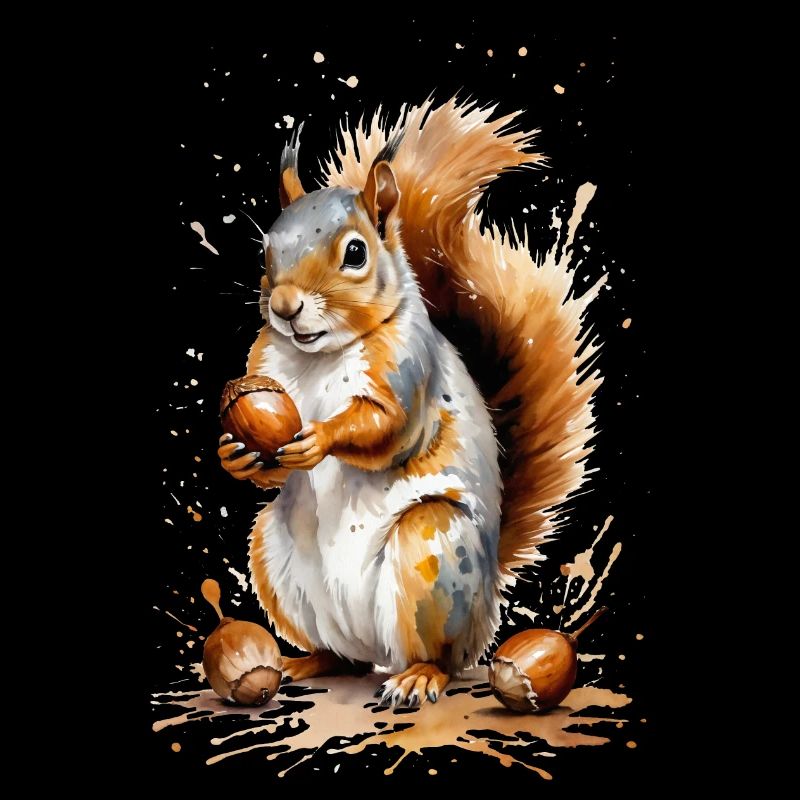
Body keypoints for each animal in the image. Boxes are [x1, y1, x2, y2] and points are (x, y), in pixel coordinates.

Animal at [217, 97, 601, 707]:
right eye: (265, 251)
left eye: (356, 253)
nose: (283, 305)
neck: (320, 355)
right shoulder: (265, 369)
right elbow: (267, 467)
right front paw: (234, 453)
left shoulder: (409, 369)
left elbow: (389, 428)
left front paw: (321, 437)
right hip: (272, 551)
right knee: (339, 654)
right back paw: (305, 661)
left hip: (432, 553)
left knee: (437, 656)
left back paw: (419, 677)